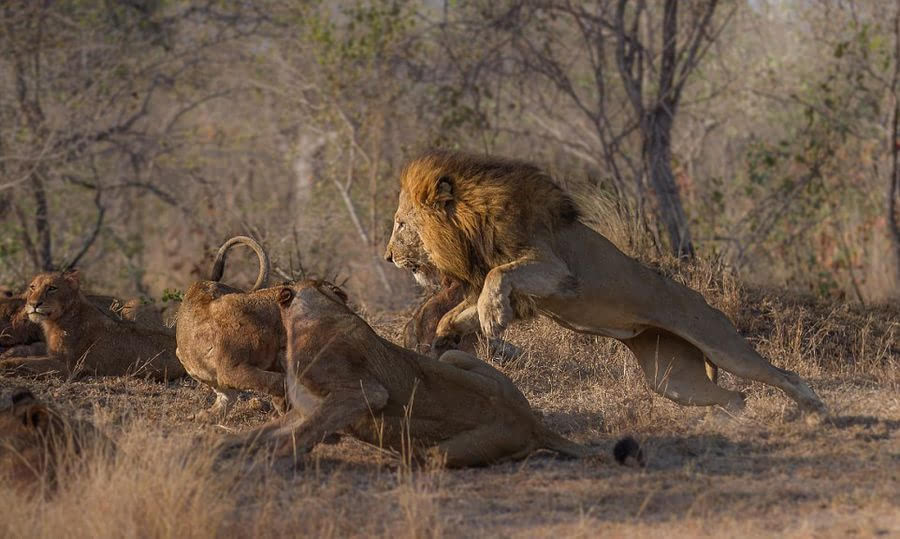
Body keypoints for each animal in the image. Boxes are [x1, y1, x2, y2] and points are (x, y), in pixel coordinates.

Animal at [384, 150, 828, 420]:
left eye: (401, 224)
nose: (387, 257)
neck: (469, 229)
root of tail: (700, 299)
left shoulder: (556, 271)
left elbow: (498, 278)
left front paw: (493, 318)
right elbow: (463, 311)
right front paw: (446, 336)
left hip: (721, 344)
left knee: (782, 375)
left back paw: (814, 410)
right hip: (673, 380)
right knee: (734, 396)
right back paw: (726, 419)